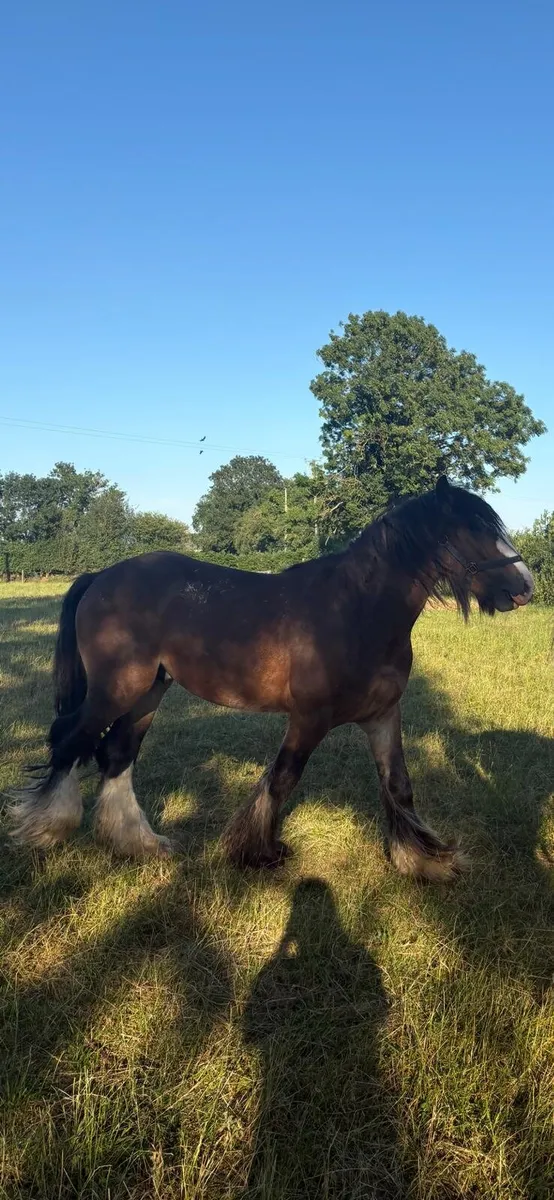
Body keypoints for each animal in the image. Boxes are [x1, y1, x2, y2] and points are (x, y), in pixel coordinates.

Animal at [9, 476, 533, 881]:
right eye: (470, 533)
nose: (525, 587)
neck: (356, 611)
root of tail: (100, 577)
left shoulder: (384, 714)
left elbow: (399, 783)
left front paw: (423, 860)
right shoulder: (309, 718)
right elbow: (282, 779)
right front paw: (256, 851)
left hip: (149, 690)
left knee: (117, 753)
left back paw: (139, 843)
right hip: (117, 689)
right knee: (70, 739)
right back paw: (46, 830)